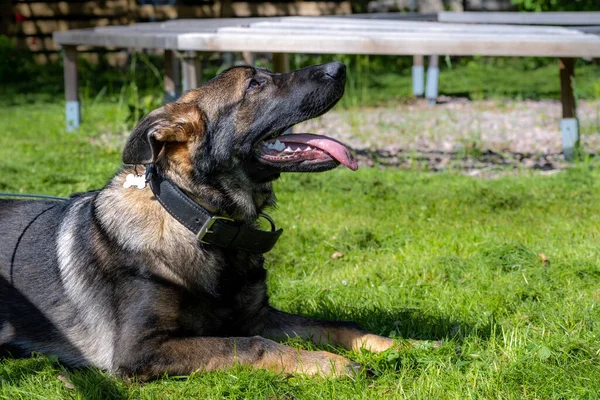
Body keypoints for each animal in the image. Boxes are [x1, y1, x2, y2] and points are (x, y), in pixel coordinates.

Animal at [3, 61, 404, 378]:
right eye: (254, 84)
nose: (340, 66)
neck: (202, 221)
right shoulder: (141, 348)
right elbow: (251, 345)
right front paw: (328, 363)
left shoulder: (259, 316)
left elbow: (336, 325)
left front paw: (397, 343)